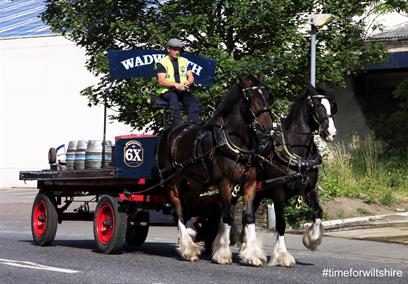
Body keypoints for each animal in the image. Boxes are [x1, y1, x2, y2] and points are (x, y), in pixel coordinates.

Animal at [158, 76, 276, 266]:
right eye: (250, 98)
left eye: (267, 96)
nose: (268, 128)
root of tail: (168, 132)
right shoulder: (225, 184)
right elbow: (228, 216)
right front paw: (223, 253)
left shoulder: (249, 184)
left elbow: (249, 217)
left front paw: (252, 255)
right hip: (171, 180)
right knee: (178, 209)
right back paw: (188, 248)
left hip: (197, 182)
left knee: (187, 203)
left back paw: (191, 234)